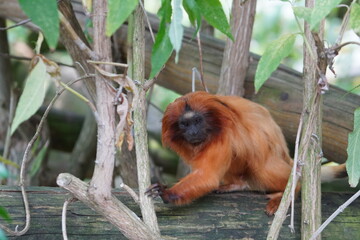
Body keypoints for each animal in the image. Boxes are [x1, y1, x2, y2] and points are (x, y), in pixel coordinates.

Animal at [146, 91, 346, 215]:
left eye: (197, 121)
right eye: (185, 124)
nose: (193, 132)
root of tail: (288, 157)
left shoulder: (222, 137)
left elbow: (208, 176)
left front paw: (166, 193)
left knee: (262, 166)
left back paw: (290, 190)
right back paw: (238, 184)